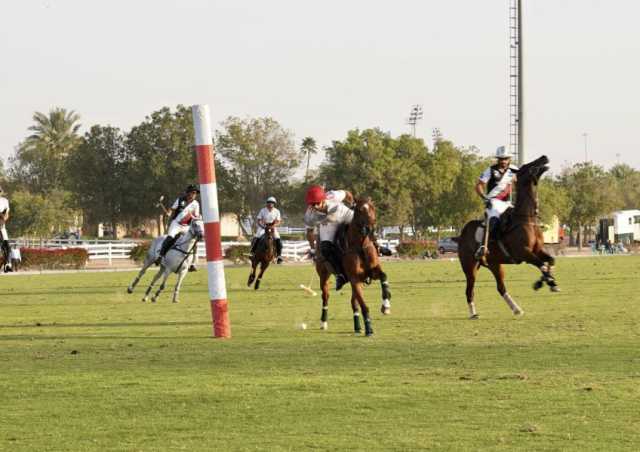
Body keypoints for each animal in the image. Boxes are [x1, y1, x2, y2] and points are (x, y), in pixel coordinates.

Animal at [316, 197, 390, 336]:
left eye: (373, 208)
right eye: (360, 210)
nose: (371, 228)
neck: (360, 246)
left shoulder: (371, 272)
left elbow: (384, 276)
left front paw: (386, 305)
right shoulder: (354, 278)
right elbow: (364, 306)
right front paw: (369, 329)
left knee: (353, 302)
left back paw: (357, 327)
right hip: (324, 275)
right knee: (325, 297)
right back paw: (323, 322)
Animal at [456, 155, 560, 318]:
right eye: (526, 166)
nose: (544, 157)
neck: (526, 218)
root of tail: (462, 233)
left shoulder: (537, 250)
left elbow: (550, 261)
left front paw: (549, 282)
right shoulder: (523, 253)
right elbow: (542, 265)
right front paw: (543, 282)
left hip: (495, 264)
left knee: (501, 287)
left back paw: (516, 309)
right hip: (470, 265)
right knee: (469, 289)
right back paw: (473, 313)